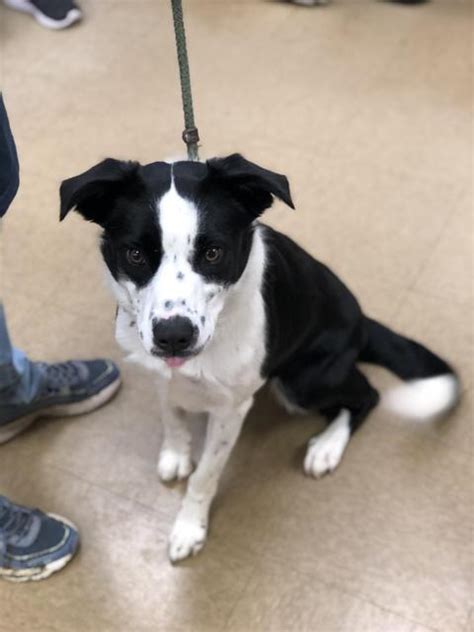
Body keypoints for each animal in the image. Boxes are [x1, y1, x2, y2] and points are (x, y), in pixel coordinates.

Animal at [59, 154, 460, 564]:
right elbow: (172, 415)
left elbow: (205, 475)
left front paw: (189, 527)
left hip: (302, 381)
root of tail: (362, 321)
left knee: (366, 394)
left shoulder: (230, 409)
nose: (173, 336)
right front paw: (175, 452)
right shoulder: (162, 373)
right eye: (135, 254)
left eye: (213, 252)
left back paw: (327, 446)